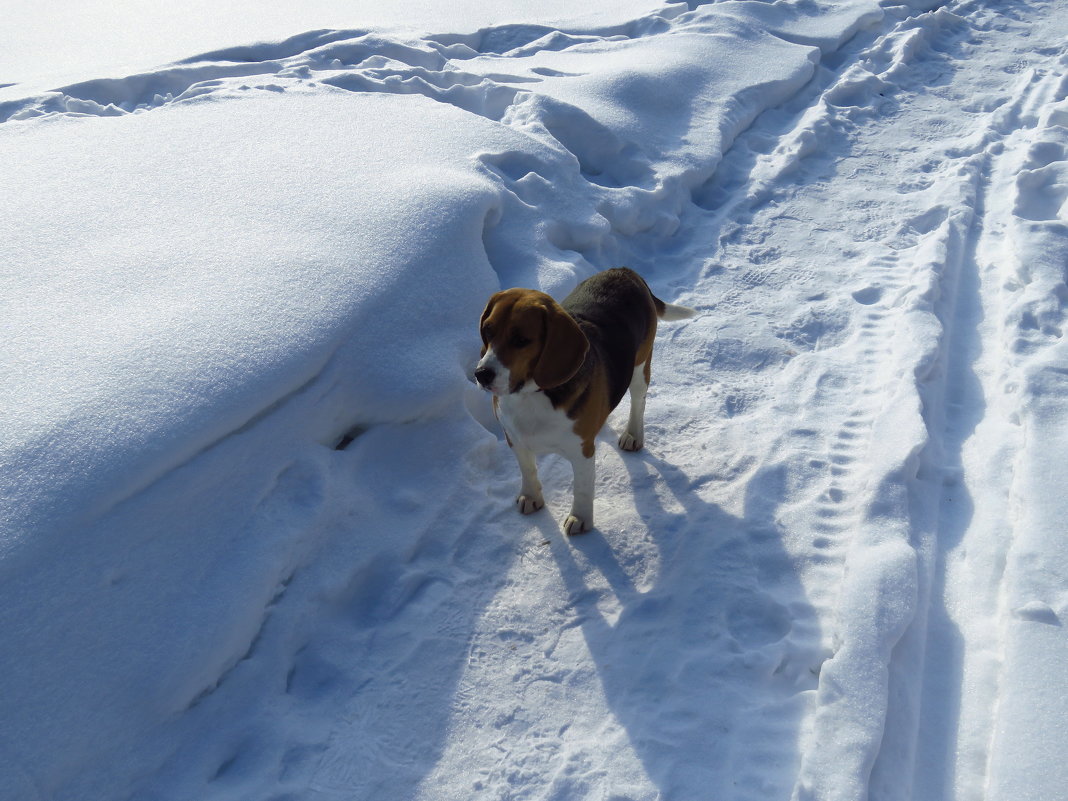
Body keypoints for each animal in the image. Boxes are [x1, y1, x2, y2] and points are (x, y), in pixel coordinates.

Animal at [474, 267, 692, 536]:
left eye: (521, 340)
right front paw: (531, 496)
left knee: (638, 402)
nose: (481, 374)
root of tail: (625, 271)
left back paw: (633, 434)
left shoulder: (582, 453)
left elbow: (582, 488)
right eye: (488, 330)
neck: (532, 395)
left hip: (641, 366)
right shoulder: (515, 439)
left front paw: (580, 518)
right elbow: (527, 470)